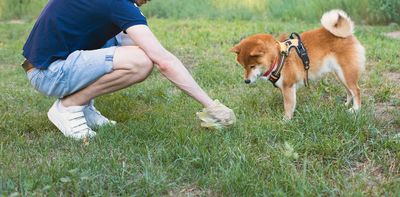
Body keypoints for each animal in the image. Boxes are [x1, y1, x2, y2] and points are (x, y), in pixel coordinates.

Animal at [231, 10, 366, 119]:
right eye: (244, 67)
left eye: (252, 66)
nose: (246, 81)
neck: (277, 58)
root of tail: (348, 34)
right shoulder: (285, 89)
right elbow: (289, 104)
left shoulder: (288, 87)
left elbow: (288, 106)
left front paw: (285, 120)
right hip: (341, 75)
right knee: (349, 91)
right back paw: (346, 105)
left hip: (346, 73)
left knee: (356, 91)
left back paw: (355, 110)